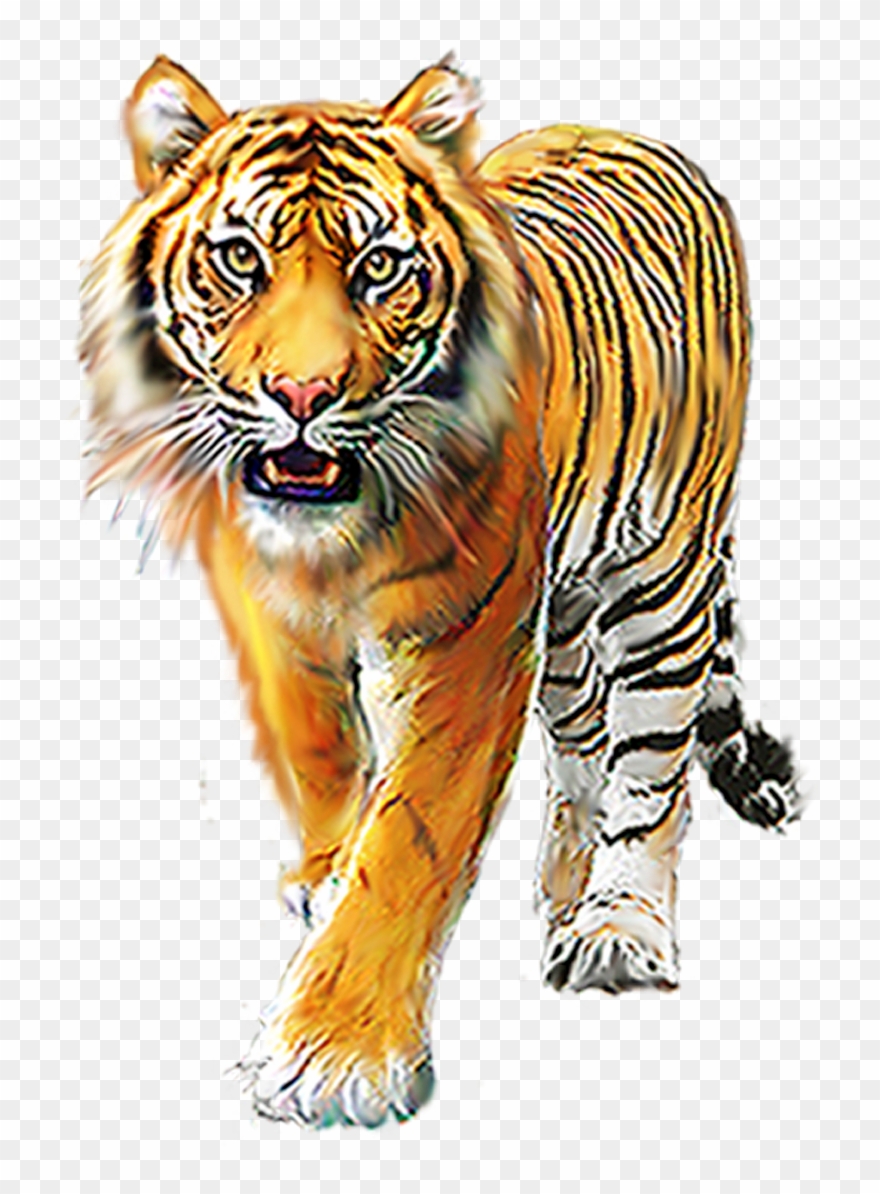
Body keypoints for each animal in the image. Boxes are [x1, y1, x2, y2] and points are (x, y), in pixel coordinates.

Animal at [80, 55, 803, 1128]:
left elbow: (413, 834)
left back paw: (618, 925)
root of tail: (633, 134)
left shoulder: (471, 640)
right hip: (568, 611)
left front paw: (336, 1054)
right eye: (241, 258)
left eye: (380, 266)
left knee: (650, 766)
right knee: (580, 744)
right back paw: (563, 886)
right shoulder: (270, 612)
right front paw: (327, 874)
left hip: (660, 578)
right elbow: (320, 755)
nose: (303, 396)